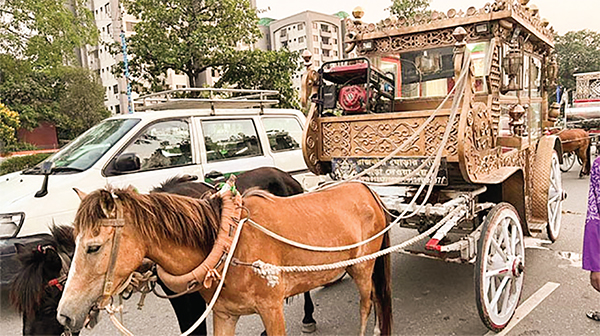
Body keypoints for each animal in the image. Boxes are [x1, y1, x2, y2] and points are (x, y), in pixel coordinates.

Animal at [55, 184, 394, 336]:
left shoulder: (272, 310)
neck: (228, 246)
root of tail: (366, 190)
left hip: (363, 266)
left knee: (367, 303)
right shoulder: (224, 314)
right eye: (73, 243)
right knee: (377, 298)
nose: (64, 316)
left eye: (93, 247)